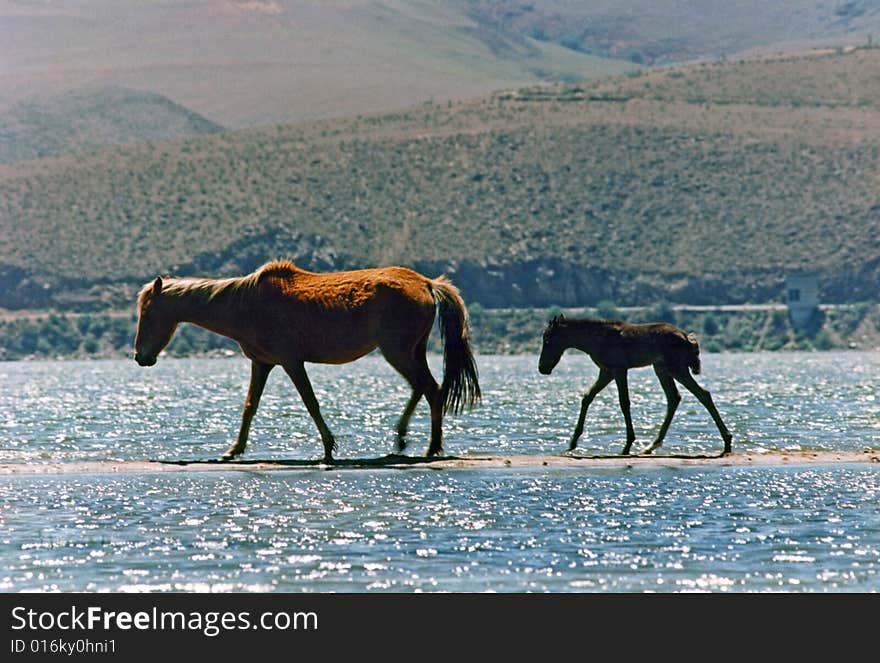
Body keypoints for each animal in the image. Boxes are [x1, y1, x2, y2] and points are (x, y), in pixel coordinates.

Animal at [132, 260, 482, 462]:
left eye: (147, 313)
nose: (140, 356)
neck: (244, 303)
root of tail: (426, 282)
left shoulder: (291, 362)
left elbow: (310, 402)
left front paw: (328, 448)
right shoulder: (262, 364)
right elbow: (250, 407)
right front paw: (234, 449)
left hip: (397, 351)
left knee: (431, 389)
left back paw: (430, 447)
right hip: (410, 351)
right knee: (422, 388)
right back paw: (403, 437)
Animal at [540, 316, 732, 456]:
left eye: (548, 340)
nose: (542, 367)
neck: (593, 341)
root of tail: (687, 337)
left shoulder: (619, 369)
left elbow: (624, 402)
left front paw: (627, 445)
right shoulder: (606, 371)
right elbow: (587, 396)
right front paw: (573, 442)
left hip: (676, 368)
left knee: (702, 394)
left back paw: (727, 441)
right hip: (661, 368)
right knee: (675, 397)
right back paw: (651, 445)